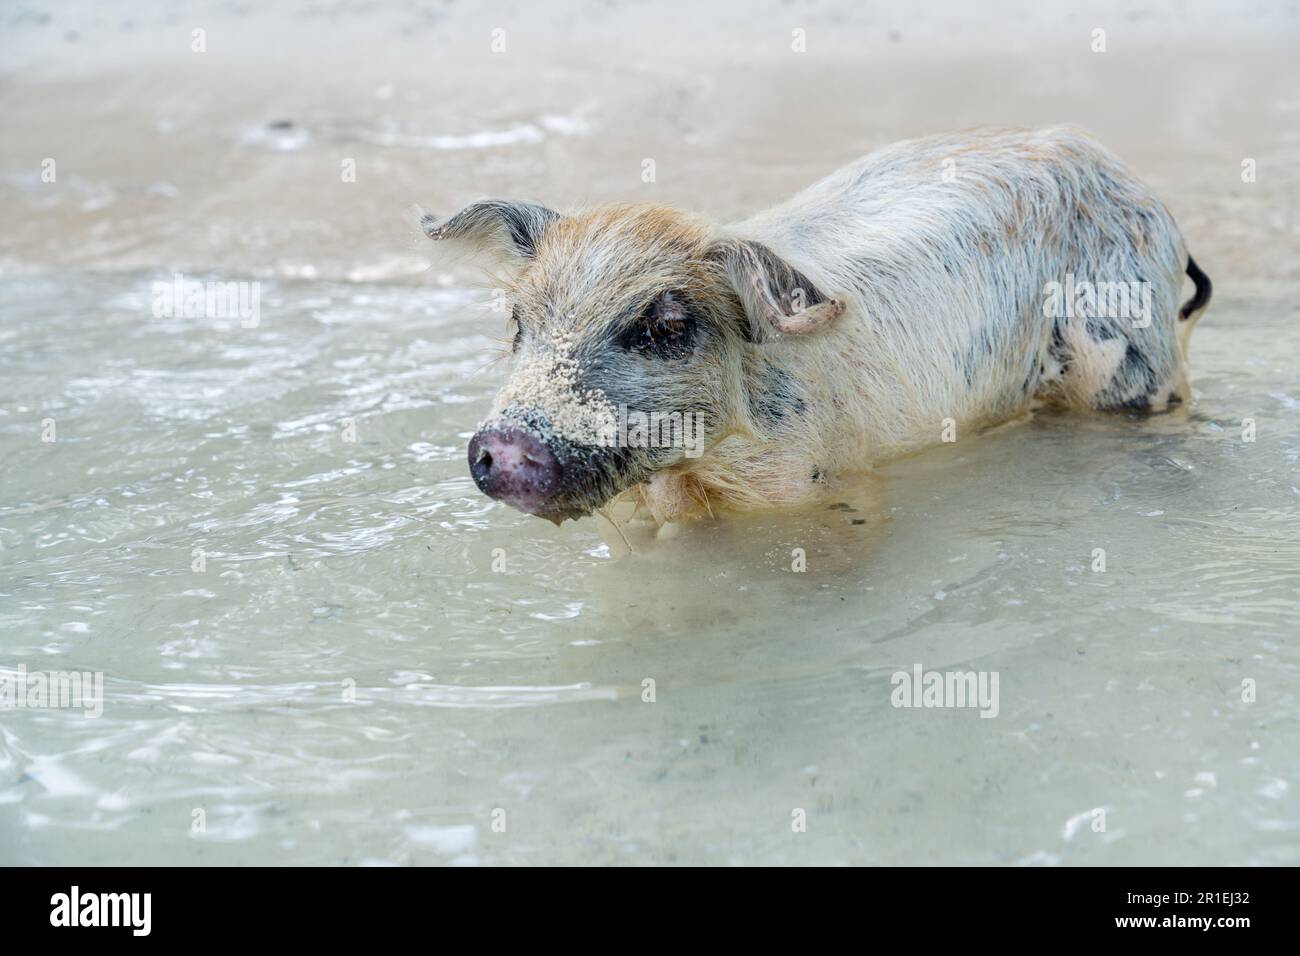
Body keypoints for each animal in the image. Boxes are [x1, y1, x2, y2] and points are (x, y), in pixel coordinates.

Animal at [431, 125, 1211, 522]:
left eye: (666, 327)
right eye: (520, 323)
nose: (502, 445)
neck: (697, 477)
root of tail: (1142, 191)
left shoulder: (828, 477)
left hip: (1131, 356)